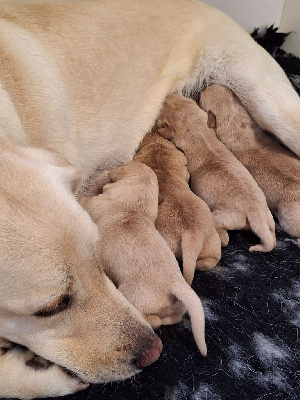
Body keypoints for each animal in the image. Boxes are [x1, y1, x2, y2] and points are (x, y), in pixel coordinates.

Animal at [79, 162, 209, 356]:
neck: (132, 209)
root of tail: (174, 284)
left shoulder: (96, 204)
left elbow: (85, 202)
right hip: (176, 306)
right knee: (174, 318)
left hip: (132, 295)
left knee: (152, 319)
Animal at [157, 94, 276, 252]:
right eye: (183, 99)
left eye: (165, 109)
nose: (168, 95)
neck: (200, 134)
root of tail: (255, 212)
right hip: (268, 215)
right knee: (272, 234)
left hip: (222, 216)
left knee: (223, 234)